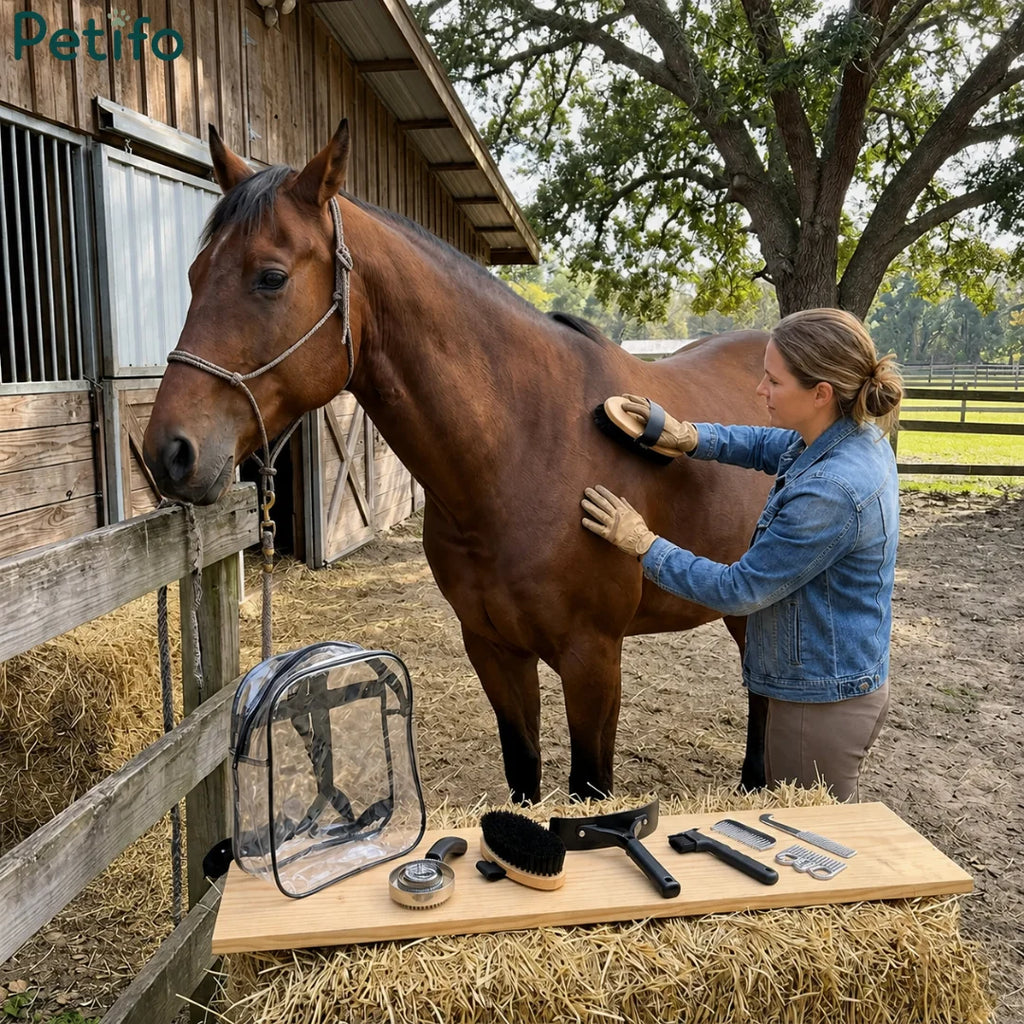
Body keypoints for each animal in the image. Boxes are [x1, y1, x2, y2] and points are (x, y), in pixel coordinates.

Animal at [142, 120, 774, 804]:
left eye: (271, 278)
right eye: (194, 273)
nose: (167, 452)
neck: (524, 449)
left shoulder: (594, 660)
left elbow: (589, 787)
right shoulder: (493, 649)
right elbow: (523, 769)